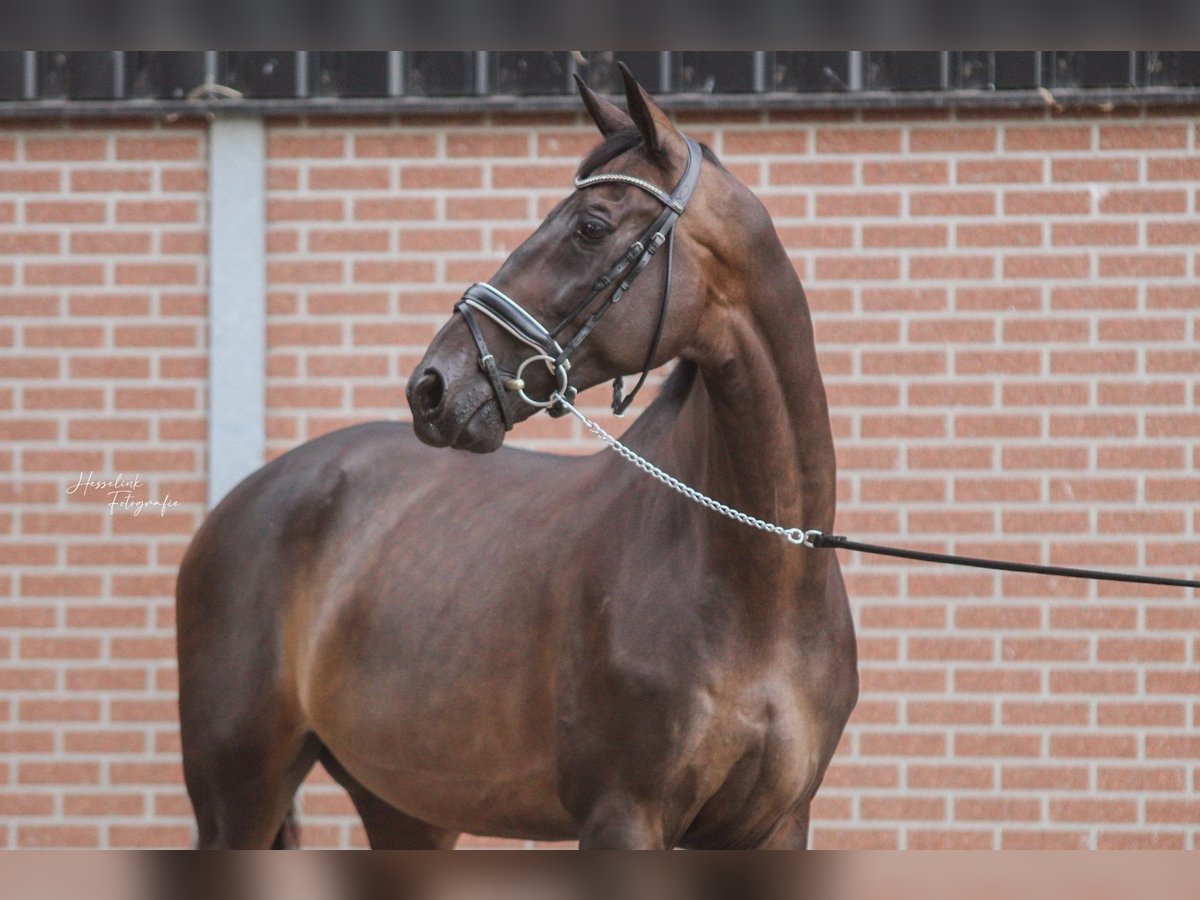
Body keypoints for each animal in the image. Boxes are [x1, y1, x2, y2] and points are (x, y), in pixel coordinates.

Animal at [175, 65, 854, 854]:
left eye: (590, 227)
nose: (432, 387)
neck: (762, 584)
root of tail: (239, 504)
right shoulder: (622, 815)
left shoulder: (777, 826)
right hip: (238, 798)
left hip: (406, 809)